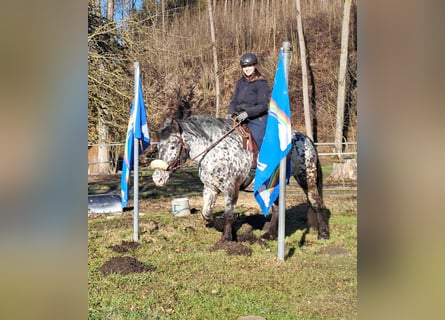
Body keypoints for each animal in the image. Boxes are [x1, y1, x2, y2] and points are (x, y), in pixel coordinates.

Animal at [151, 115, 328, 242]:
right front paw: (219, 226)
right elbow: (206, 212)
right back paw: (269, 235)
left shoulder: (231, 188)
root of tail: (306, 139)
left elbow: (229, 213)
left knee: (316, 203)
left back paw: (322, 234)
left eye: (173, 146)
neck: (215, 150)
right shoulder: (210, 188)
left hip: (307, 178)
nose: (157, 178)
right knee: (277, 207)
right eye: (158, 146)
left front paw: (226, 238)